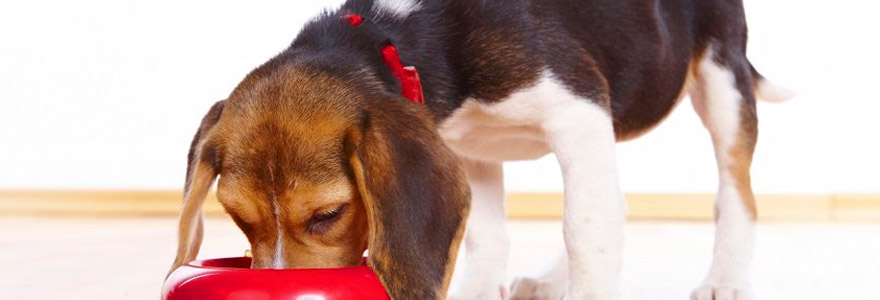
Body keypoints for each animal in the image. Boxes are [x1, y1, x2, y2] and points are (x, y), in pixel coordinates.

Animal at [167, 0, 792, 300]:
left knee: (735, 193)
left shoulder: (578, 112)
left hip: (721, 78)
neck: (395, 39)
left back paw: (727, 279)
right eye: (238, 219)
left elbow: (585, 228)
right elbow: (489, 235)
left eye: (327, 215)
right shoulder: (466, 151)